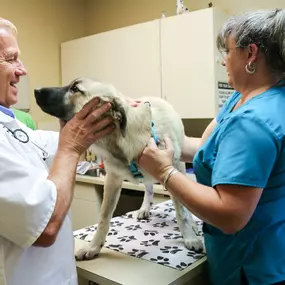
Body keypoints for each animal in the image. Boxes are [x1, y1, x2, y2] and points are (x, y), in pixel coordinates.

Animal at [34, 76, 203, 258]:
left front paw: (189, 237)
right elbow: (104, 217)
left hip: (179, 167)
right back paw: (144, 207)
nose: (36, 90)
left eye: (75, 89)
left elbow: (181, 212)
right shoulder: (112, 180)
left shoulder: (170, 166)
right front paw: (93, 247)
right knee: (148, 187)